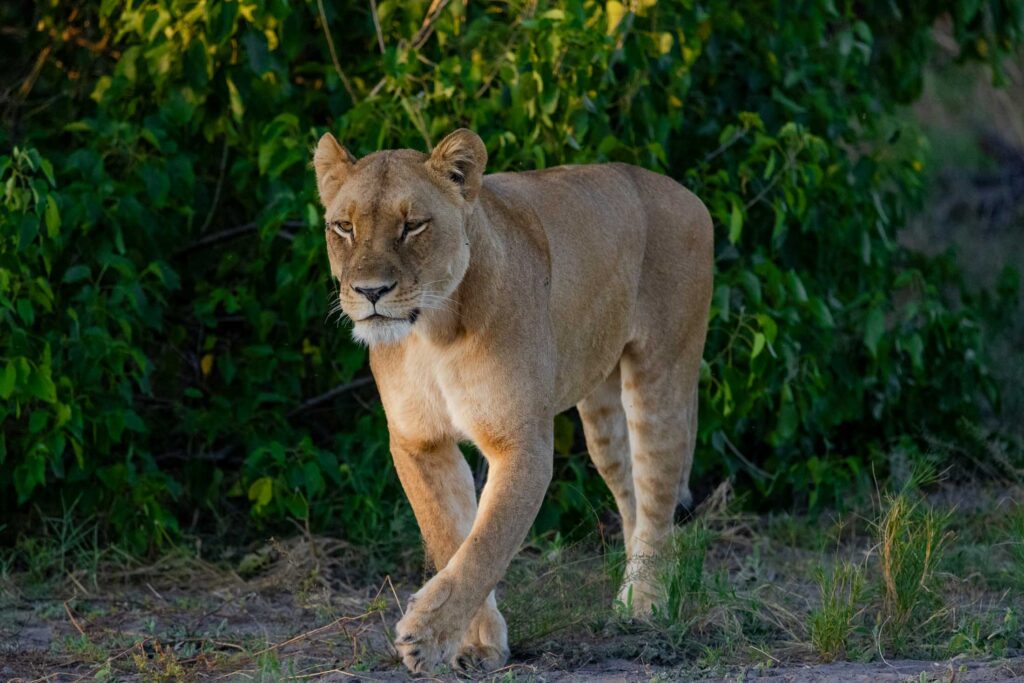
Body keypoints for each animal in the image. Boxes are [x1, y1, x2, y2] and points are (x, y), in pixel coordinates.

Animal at [313, 128, 713, 674]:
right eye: (344, 227)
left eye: (413, 226)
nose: (370, 291)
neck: (434, 333)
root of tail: (686, 194)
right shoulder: (418, 443)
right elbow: (451, 537)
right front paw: (477, 643)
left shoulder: (520, 443)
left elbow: (486, 543)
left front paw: (426, 635)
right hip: (601, 417)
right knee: (631, 495)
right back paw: (631, 595)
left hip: (661, 376)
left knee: (657, 498)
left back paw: (645, 606)